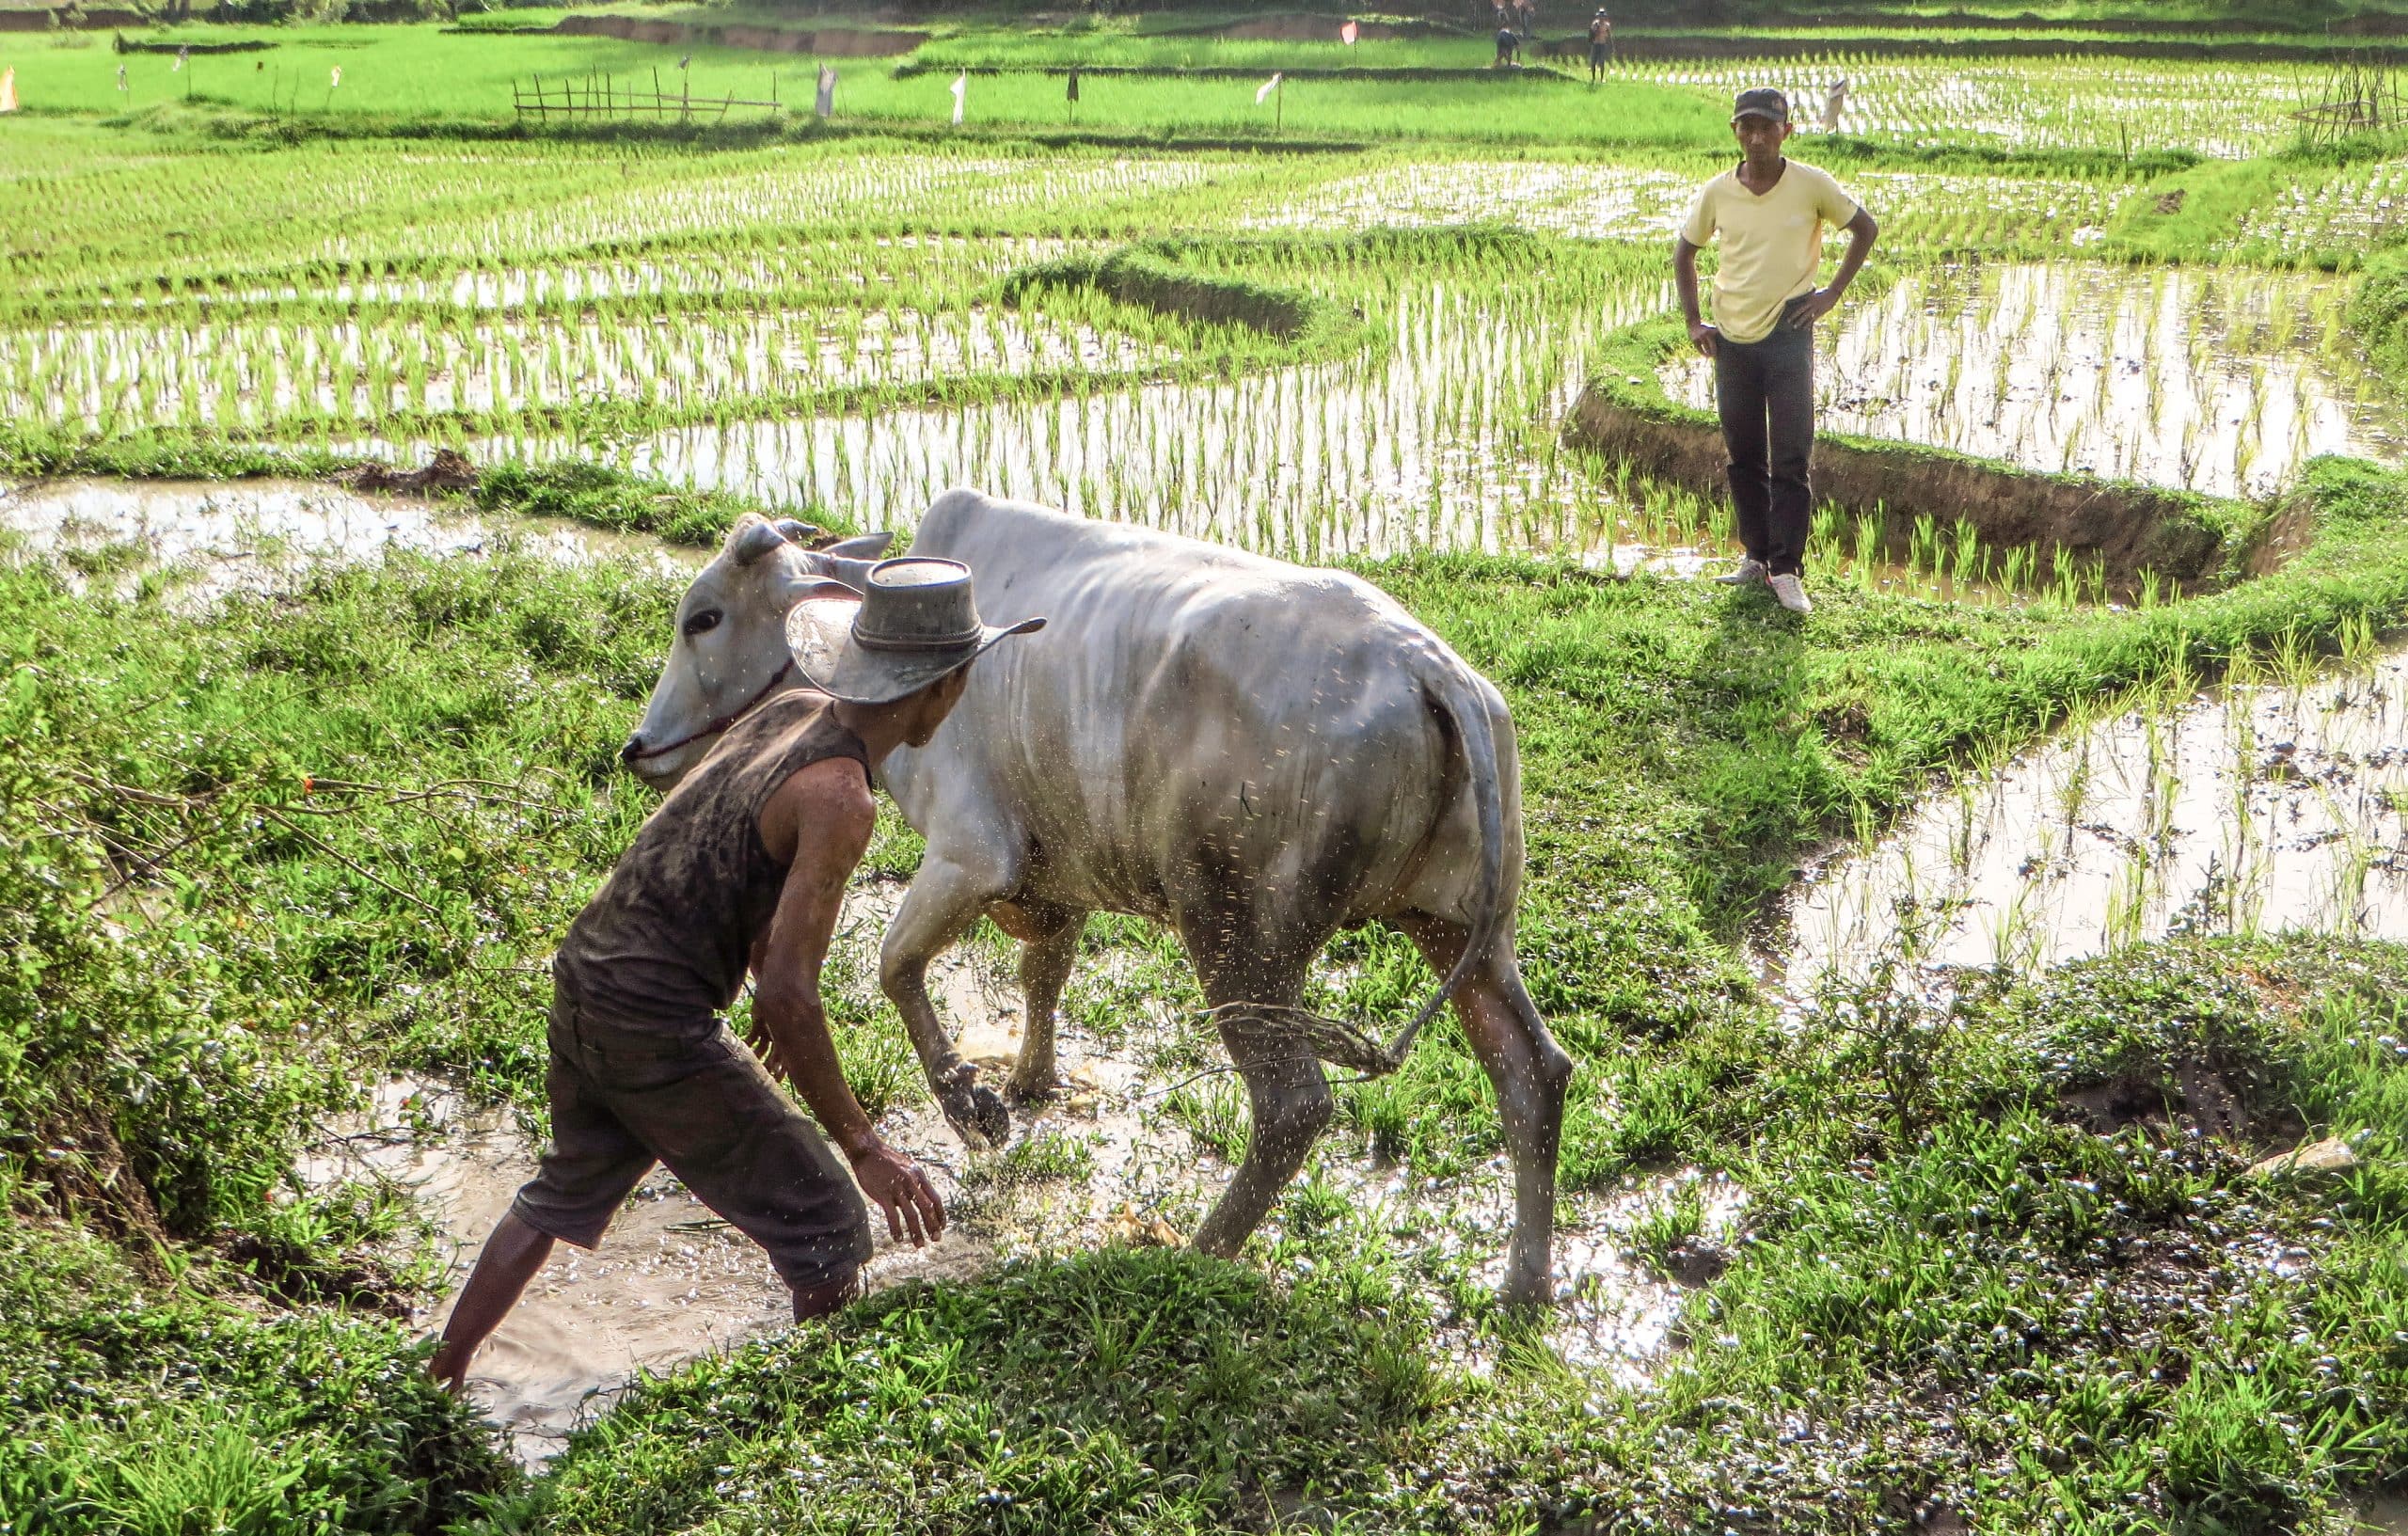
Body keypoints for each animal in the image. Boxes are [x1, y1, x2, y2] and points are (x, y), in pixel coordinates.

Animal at [621, 496, 1570, 1309]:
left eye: (703, 617)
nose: (637, 747)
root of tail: (1430, 668)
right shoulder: (1056, 874)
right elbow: (1043, 973)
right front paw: (1031, 1079)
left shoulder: (970, 850)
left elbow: (897, 964)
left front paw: (972, 1105)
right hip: (1458, 927)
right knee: (1532, 1069)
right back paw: (1524, 1283)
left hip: (1239, 936)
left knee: (1295, 1105)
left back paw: (1198, 1252)